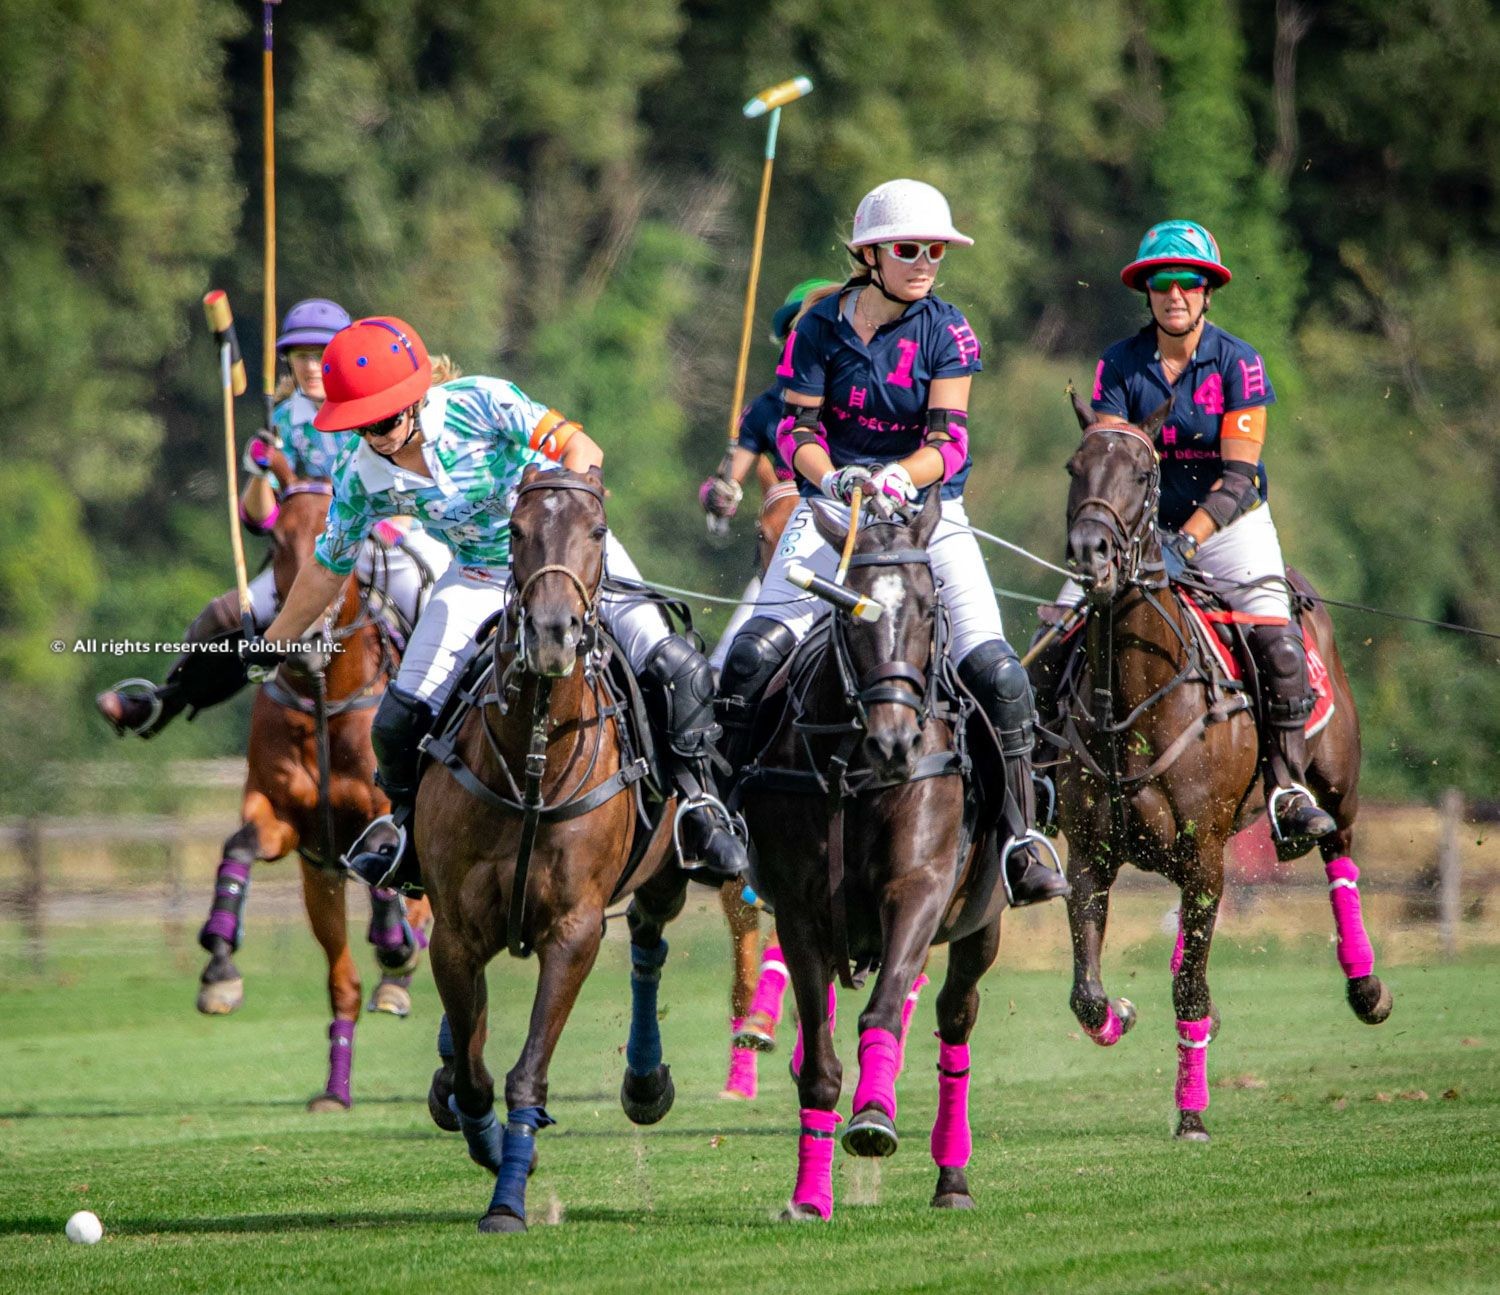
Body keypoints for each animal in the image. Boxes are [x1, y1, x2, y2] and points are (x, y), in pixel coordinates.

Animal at [417, 465, 687, 1236]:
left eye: (597, 531)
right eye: (515, 530)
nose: (552, 633)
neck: (535, 760)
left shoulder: (574, 928)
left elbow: (525, 1072)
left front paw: (507, 1200)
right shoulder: (454, 931)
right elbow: (476, 1073)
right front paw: (491, 1144)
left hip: (669, 865)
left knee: (649, 936)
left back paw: (645, 1081)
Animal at [729, 492, 1002, 1218]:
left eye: (931, 606)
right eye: (848, 612)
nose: (897, 743)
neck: (853, 769)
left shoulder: (919, 889)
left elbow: (882, 1011)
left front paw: (874, 1116)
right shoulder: (801, 913)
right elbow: (818, 1061)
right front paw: (809, 1195)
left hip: (981, 922)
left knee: (954, 1023)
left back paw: (952, 1177)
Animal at [1038, 396, 1386, 1146]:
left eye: (1143, 473)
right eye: (1075, 466)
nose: (1091, 552)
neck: (1132, 704)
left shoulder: (1202, 853)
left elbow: (1189, 988)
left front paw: (1192, 1113)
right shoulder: (1090, 856)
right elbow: (1087, 993)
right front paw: (1121, 1015)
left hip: (1336, 784)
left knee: (1339, 854)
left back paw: (1368, 988)